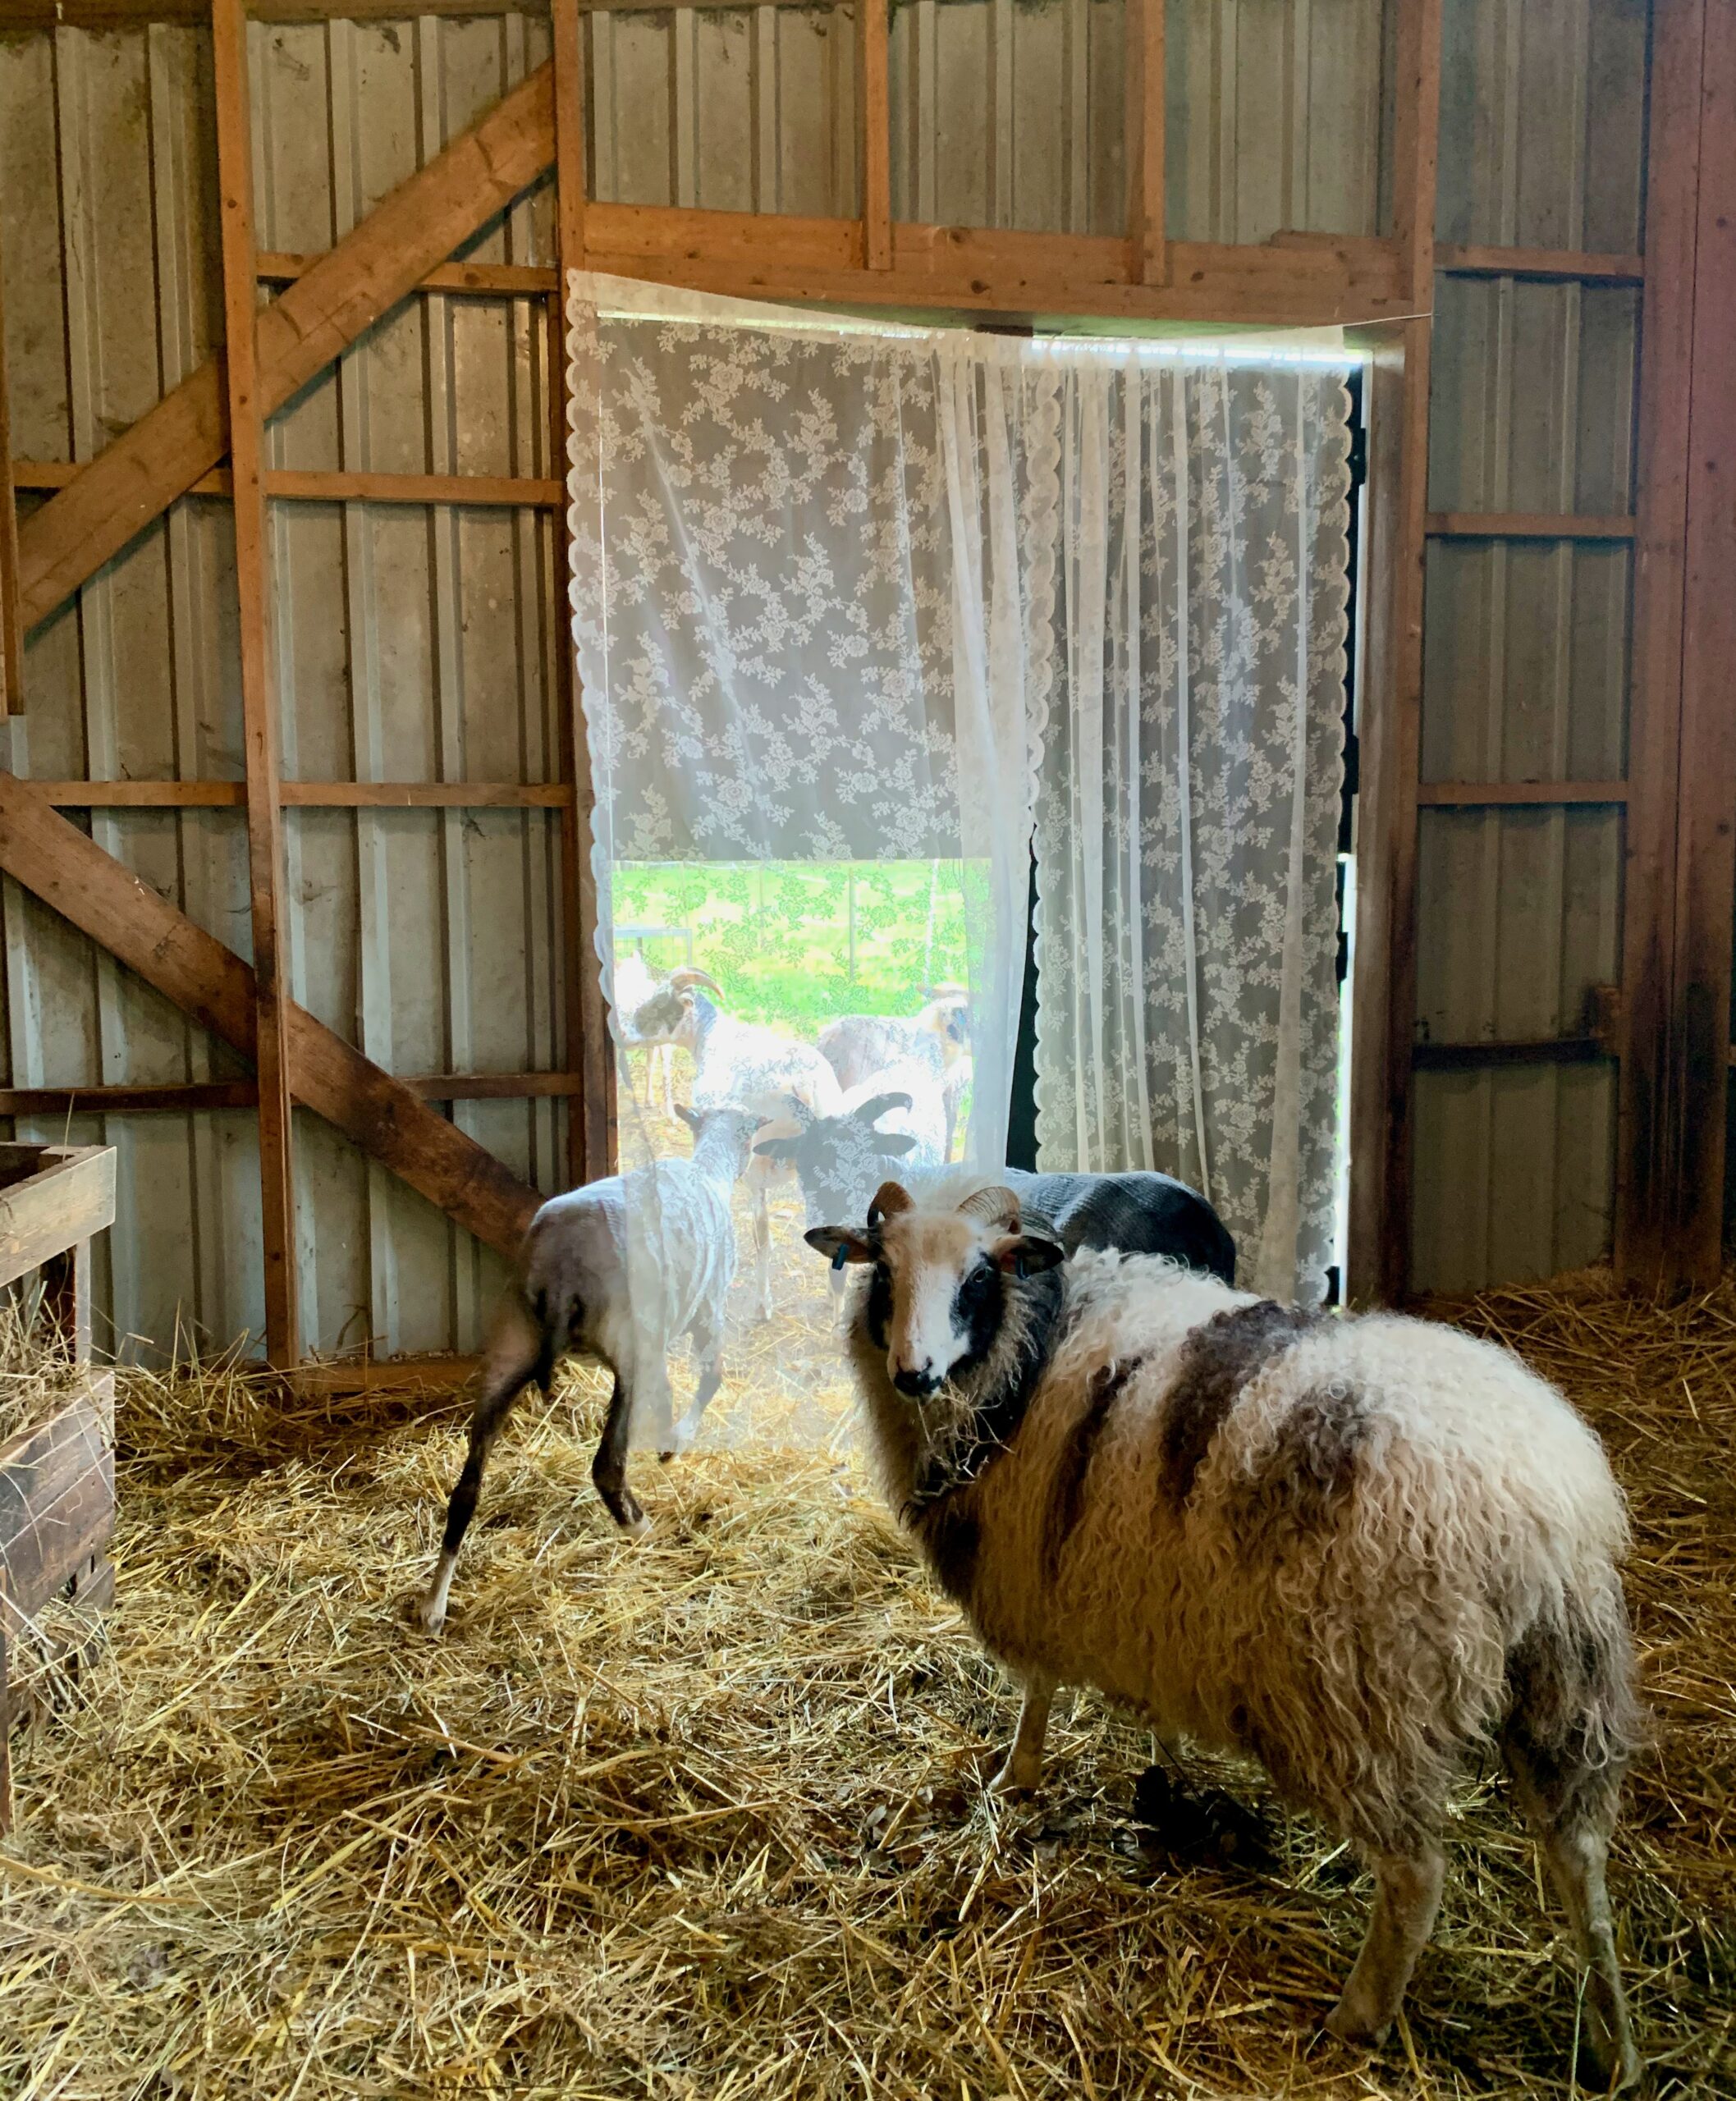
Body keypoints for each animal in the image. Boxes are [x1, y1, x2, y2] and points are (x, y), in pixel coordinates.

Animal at [415, 1103, 763, 1635]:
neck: (709, 1172)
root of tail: (561, 1268)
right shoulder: (707, 1312)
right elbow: (710, 1379)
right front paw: (675, 1444)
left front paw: (668, 1440)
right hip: (629, 1346)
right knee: (607, 1467)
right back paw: (642, 1529)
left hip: (511, 1343)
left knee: (466, 1491)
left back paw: (434, 1605)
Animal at [630, 972, 844, 1321]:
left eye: (662, 1002)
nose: (630, 1025)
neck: (709, 1037)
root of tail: (803, 1083)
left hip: (757, 1163)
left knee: (763, 1234)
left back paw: (763, 1304)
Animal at [808, 1180, 1643, 2089]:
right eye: (885, 1272)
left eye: (975, 1279)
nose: (914, 1372)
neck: (1030, 1346)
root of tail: (1538, 1507)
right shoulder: (1129, 1585)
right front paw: (1162, 1765)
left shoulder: (1029, 1564)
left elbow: (1037, 1687)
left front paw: (1017, 1775)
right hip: (1564, 1678)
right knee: (1579, 1855)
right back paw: (1615, 2044)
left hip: (1367, 1693)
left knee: (1417, 1877)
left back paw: (1356, 2018)